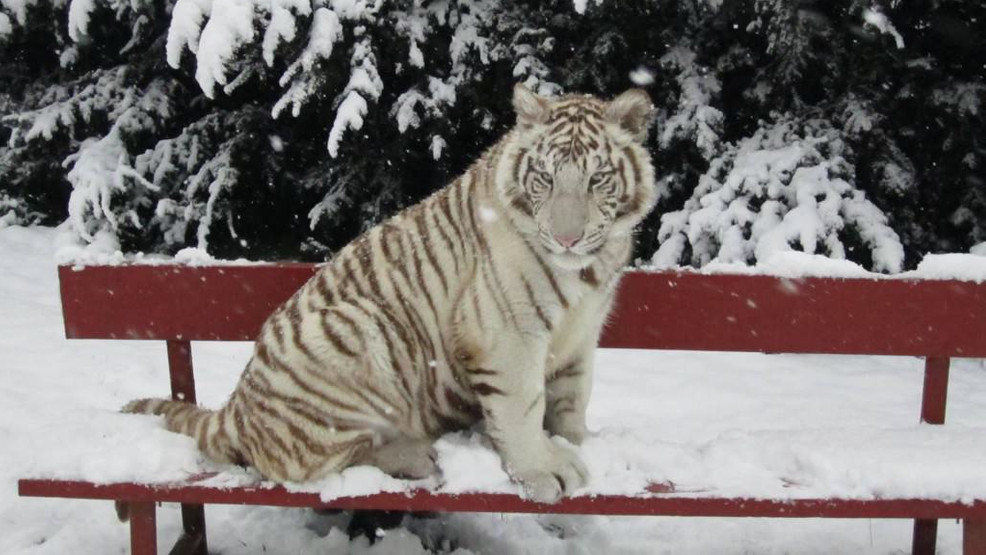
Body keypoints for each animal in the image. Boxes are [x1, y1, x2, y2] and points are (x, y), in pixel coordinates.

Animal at [123, 84, 656, 504]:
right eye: (544, 178)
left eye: (598, 179)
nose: (567, 239)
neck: (589, 270)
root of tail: (236, 407)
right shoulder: (506, 332)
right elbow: (523, 406)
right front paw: (543, 471)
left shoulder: (582, 331)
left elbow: (572, 398)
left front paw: (578, 444)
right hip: (358, 328)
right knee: (312, 463)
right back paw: (417, 454)